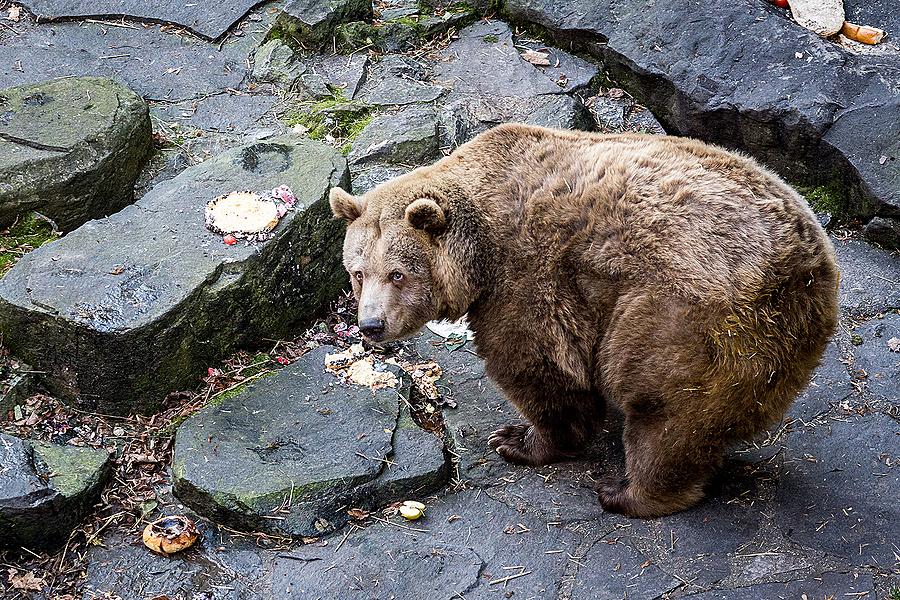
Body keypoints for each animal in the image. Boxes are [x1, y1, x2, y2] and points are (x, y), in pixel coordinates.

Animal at [330, 124, 844, 516]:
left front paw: (518, 439)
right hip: (774, 343)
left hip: (686, 320)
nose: (371, 326)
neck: (479, 253)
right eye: (357, 272)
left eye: (397, 273)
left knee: (665, 411)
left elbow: (538, 366)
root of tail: (804, 268)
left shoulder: (529, 278)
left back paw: (627, 492)